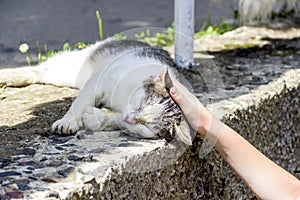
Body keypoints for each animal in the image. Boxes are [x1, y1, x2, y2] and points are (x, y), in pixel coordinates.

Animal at [0, 39, 192, 145]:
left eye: (146, 126)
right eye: (140, 105)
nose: (131, 118)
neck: (123, 103)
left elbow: (117, 121)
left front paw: (96, 117)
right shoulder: (96, 84)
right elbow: (79, 103)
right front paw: (67, 122)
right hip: (74, 67)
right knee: (40, 69)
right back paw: (7, 76)